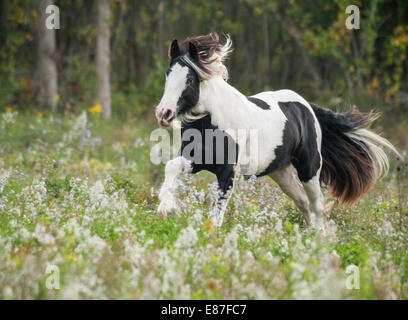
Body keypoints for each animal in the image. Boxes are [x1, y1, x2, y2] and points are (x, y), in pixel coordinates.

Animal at [155, 32, 400, 230]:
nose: (163, 113)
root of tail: (306, 106)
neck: (212, 120)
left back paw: (319, 242)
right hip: (281, 172)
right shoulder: (194, 159)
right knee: (303, 202)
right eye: (167, 74)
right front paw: (166, 208)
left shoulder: (227, 171)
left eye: (189, 78)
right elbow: (172, 167)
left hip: (309, 168)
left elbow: (218, 211)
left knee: (316, 205)